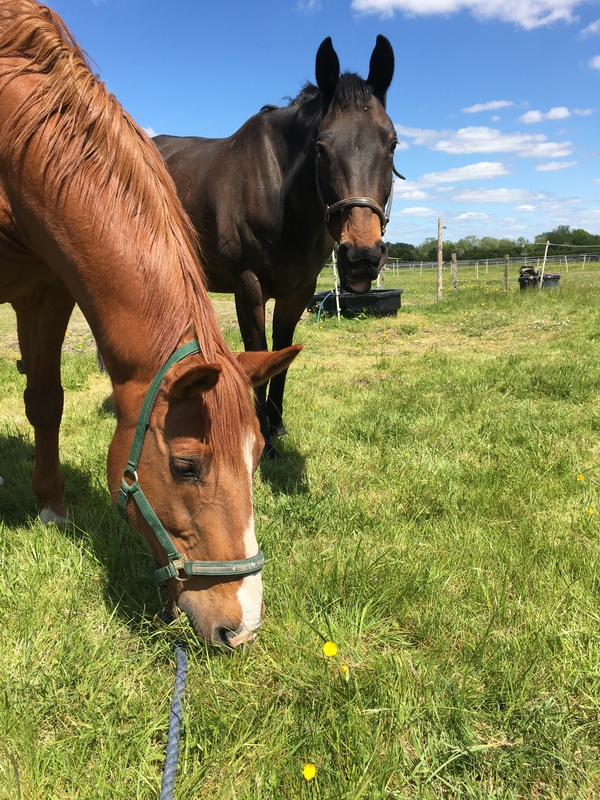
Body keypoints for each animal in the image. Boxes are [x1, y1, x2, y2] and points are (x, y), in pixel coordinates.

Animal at [0, 0, 300, 648]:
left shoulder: (47, 290)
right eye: (186, 466)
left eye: (258, 458)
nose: (243, 626)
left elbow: (45, 401)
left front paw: (51, 508)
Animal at [155, 34, 398, 456]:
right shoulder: (248, 287)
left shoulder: (297, 291)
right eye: (320, 148)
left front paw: (278, 426)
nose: (362, 256)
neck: (279, 193)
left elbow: (282, 352)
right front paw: (261, 434)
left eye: (392, 145)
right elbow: (259, 352)